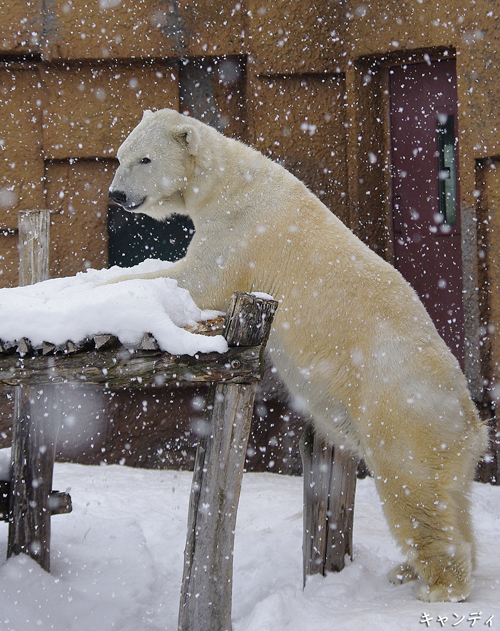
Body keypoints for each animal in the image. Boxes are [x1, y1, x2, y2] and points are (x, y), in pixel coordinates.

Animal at [109, 108, 488, 604]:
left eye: (145, 159)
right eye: (120, 155)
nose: (116, 195)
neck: (230, 181)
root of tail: (471, 421)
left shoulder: (240, 231)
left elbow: (196, 280)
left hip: (402, 411)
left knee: (413, 490)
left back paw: (440, 585)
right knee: (455, 498)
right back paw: (415, 570)